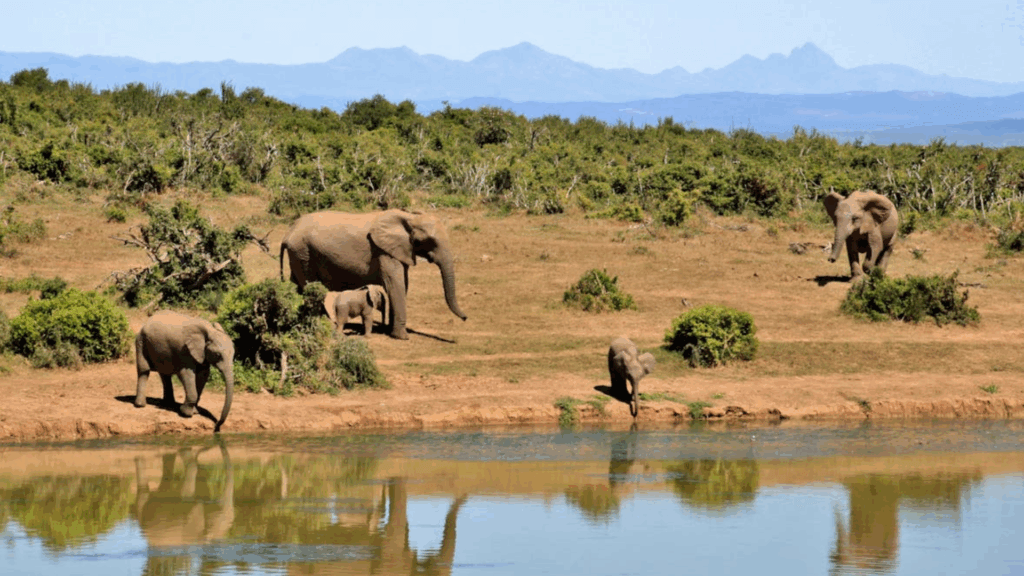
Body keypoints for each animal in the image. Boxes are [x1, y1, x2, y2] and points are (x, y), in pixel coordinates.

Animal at [280, 209, 467, 340]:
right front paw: (402, 337)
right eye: (430, 241)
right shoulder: (384, 251)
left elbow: (402, 285)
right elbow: (396, 285)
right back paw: (325, 324)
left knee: (297, 286)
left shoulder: (398, 250)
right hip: (304, 252)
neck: (409, 217)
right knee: (310, 288)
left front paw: (391, 331)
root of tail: (288, 233)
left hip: (298, 255)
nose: (465, 318)